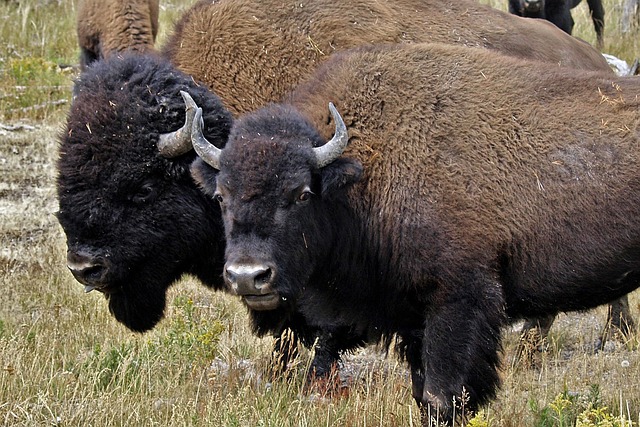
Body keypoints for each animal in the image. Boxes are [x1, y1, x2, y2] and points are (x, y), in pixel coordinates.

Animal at [189, 41, 640, 422]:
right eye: (221, 195)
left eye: (301, 193)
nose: (248, 276)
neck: (360, 174)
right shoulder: (412, 318)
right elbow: (422, 392)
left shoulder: (458, 301)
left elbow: (442, 397)